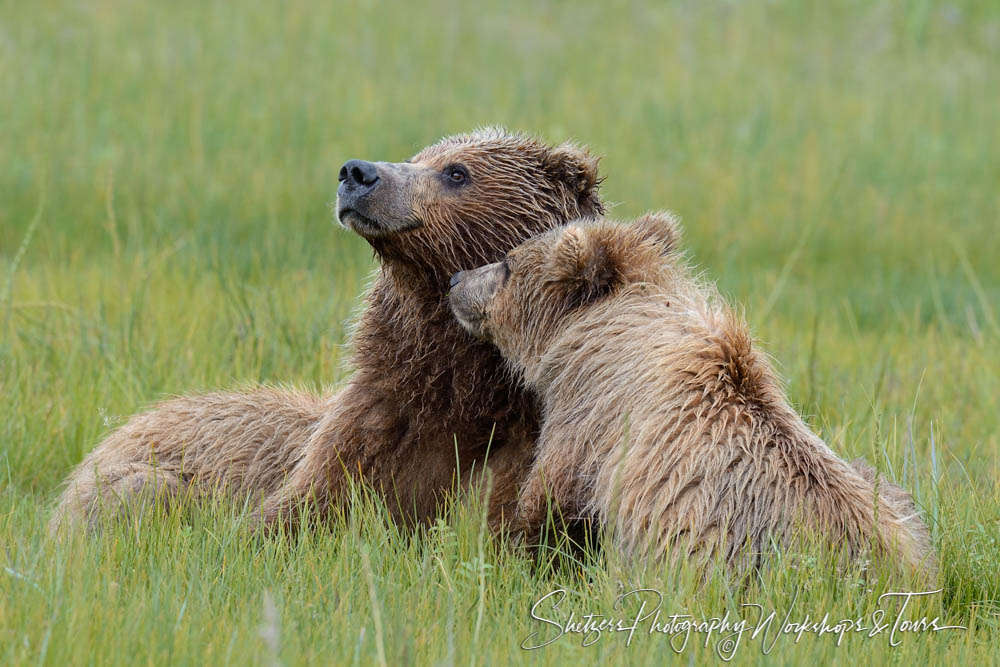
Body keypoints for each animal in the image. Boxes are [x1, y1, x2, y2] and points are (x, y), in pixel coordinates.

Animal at [48, 128, 600, 536]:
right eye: (418, 155)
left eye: (457, 171)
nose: (359, 172)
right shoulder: (382, 420)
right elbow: (303, 511)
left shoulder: (527, 443)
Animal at [450, 215, 940, 584]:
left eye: (508, 262)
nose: (456, 278)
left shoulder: (590, 414)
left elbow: (547, 500)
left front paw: (511, 549)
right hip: (891, 501)